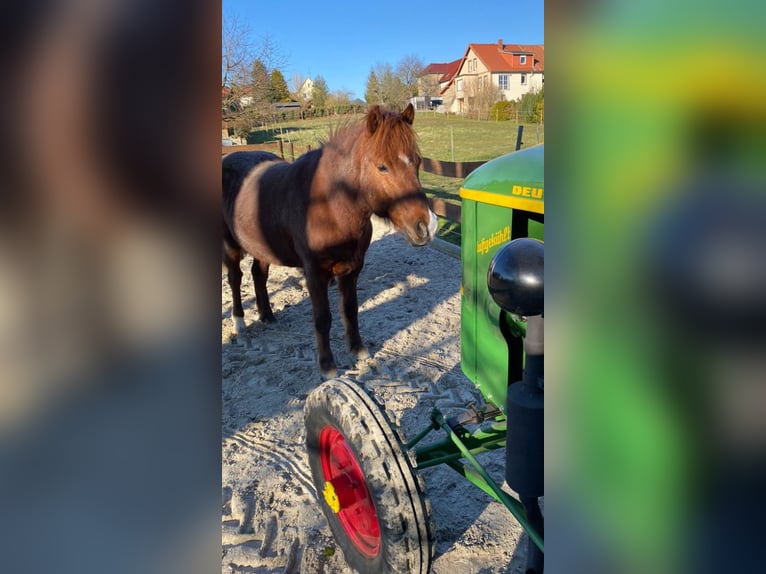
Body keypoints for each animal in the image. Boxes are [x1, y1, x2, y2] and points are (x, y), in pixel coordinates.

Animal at [224, 104, 438, 378]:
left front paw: (358, 350)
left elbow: (350, 310)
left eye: (418, 163)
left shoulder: (351, 270)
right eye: (382, 167)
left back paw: (267, 315)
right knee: (235, 279)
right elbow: (323, 318)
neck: (329, 206)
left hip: (263, 247)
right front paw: (327, 365)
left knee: (258, 274)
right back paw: (239, 323)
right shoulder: (315, 274)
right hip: (230, 247)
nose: (427, 225)